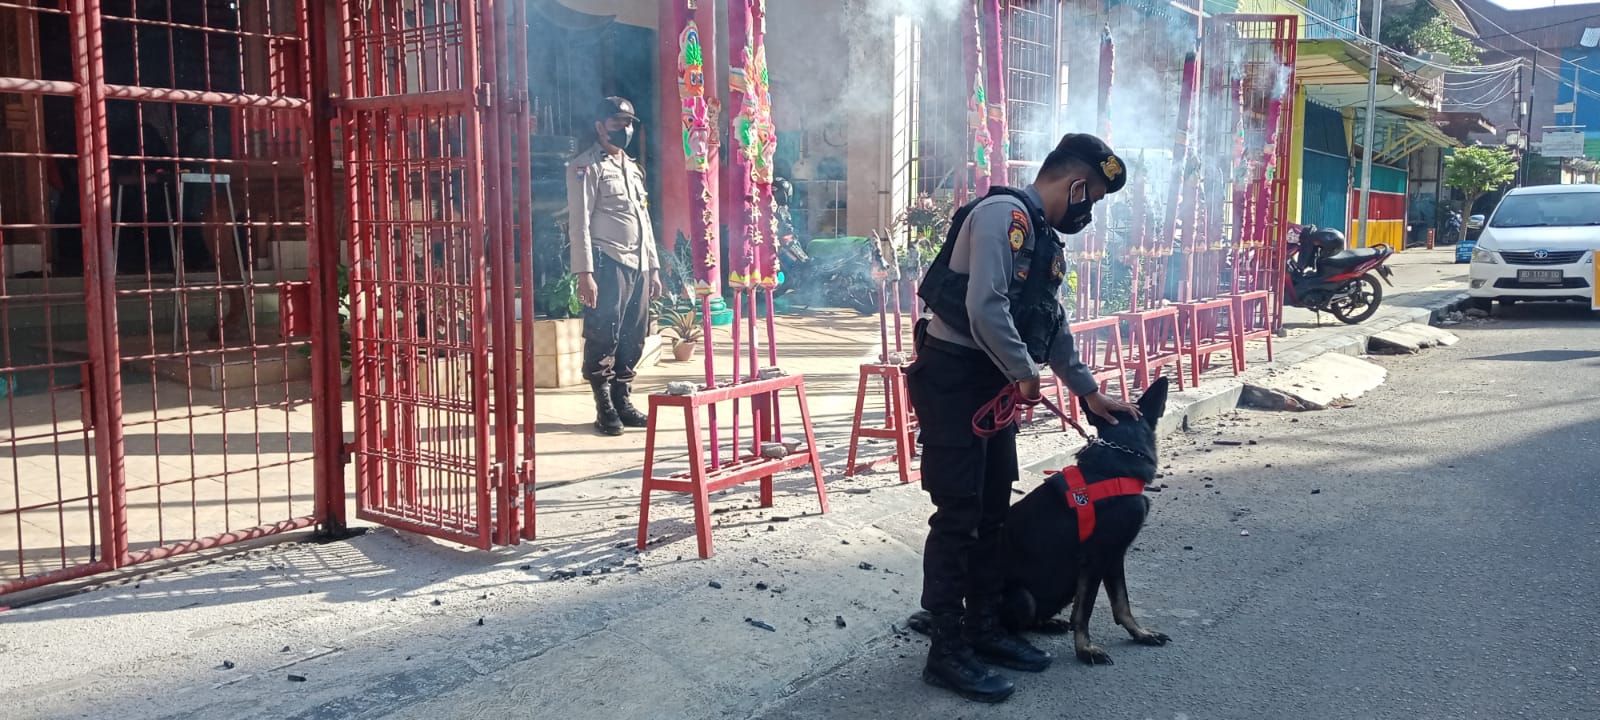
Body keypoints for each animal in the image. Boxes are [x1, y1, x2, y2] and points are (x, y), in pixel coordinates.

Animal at [915, 377, 1177, 662]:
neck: (1115, 465)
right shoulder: (1096, 560)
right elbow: (1085, 610)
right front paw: (1085, 649)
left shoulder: (1114, 557)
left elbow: (1122, 603)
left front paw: (1140, 634)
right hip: (1024, 597)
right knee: (994, 626)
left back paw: (1049, 624)